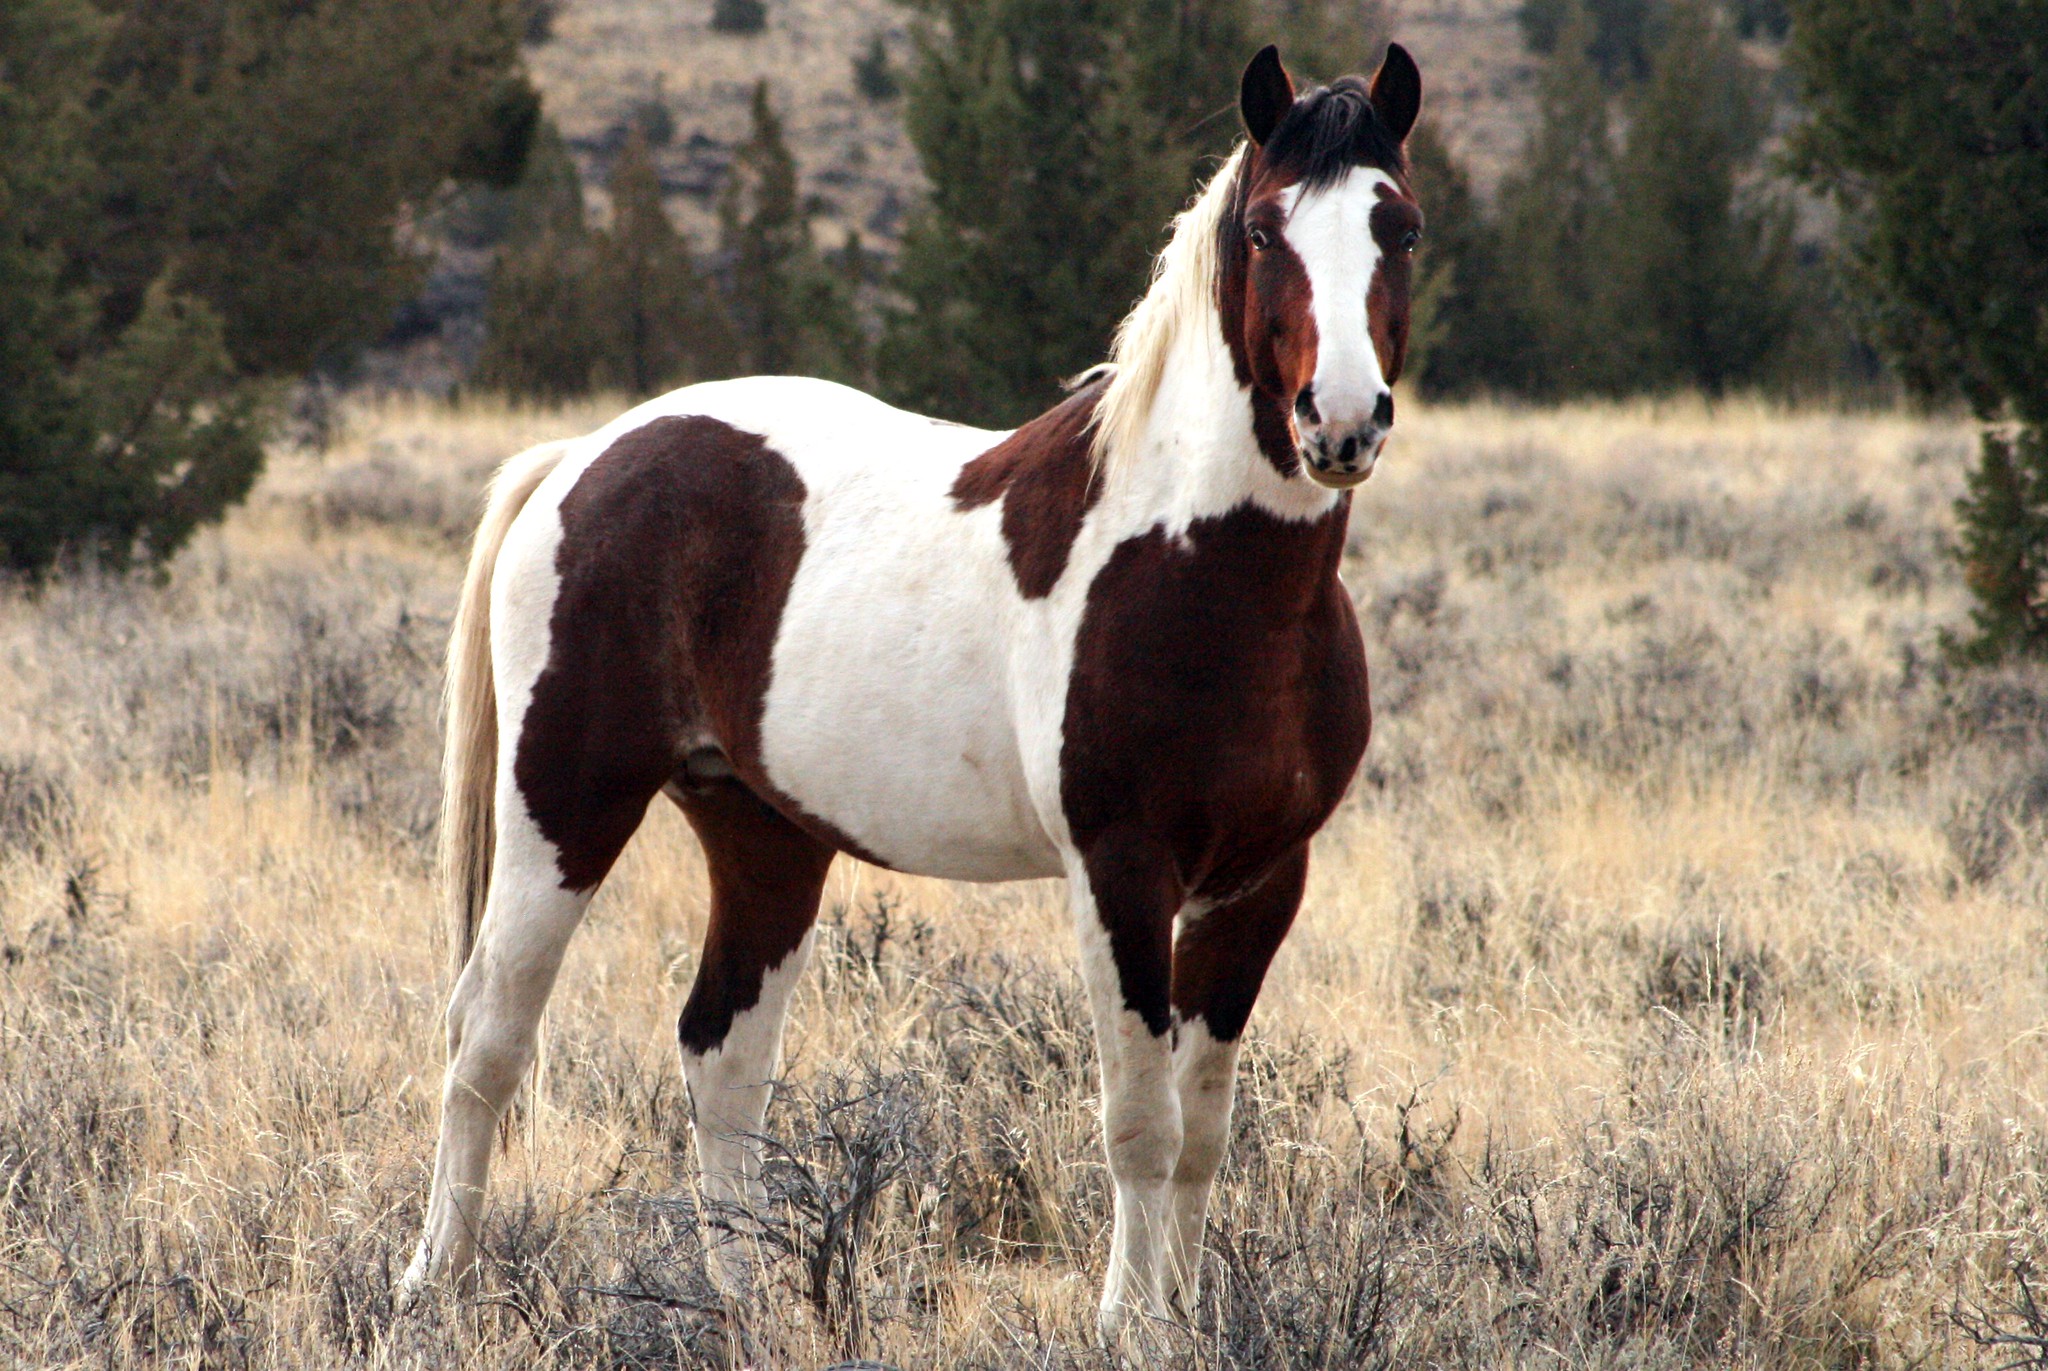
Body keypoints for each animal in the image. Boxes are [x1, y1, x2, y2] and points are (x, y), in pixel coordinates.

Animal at [399, 40, 1425, 1336]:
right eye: (1259, 230)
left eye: (1398, 225)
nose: (1336, 422)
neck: (1196, 564)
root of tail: (579, 459)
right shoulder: (1120, 871)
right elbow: (1138, 1127)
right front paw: (1126, 1328)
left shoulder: (1258, 882)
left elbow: (1201, 1132)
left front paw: (1185, 1322)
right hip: (563, 809)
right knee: (487, 1034)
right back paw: (434, 1283)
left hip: (761, 834)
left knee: (721, 1057)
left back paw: (743, 1311)